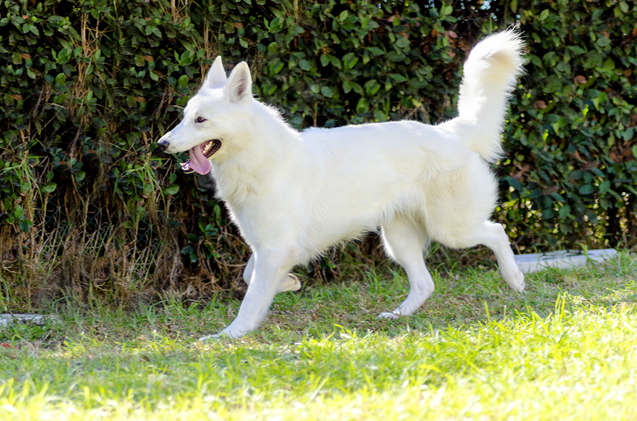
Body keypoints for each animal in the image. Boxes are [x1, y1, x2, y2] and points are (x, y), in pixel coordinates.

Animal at [157, 30, 524, 338]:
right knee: (425, 284)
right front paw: (289, 284)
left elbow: (249, 302)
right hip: (398, 240)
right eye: (185, 117)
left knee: (497, 231)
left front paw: (230, 335)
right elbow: (251, 277)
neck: (260, 155)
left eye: (201, 120)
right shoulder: (269, 247)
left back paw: (516, 280)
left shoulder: (275, 249)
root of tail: (450, 131)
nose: (162, 144)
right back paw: (398, 315)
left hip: (451, 229)